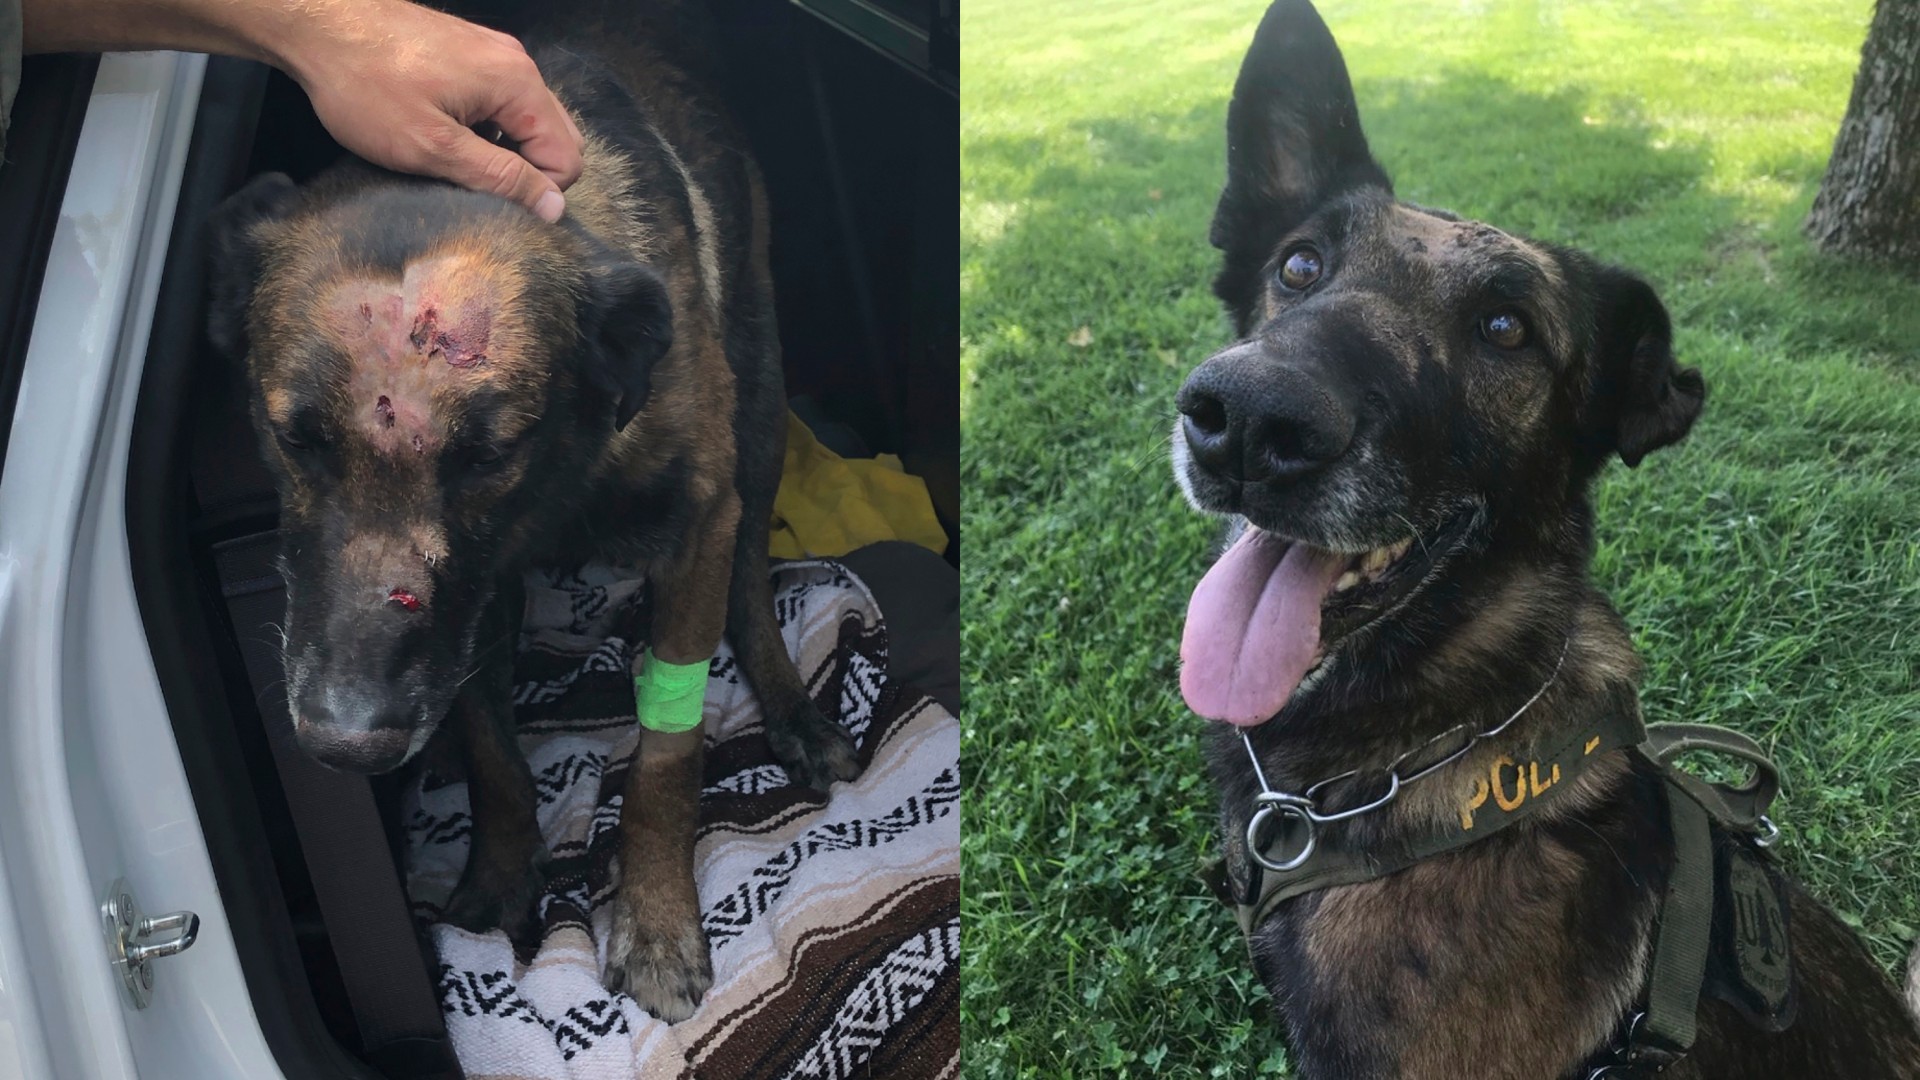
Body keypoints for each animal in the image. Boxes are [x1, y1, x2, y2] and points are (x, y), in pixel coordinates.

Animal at [206, 4, 860, 1014]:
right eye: (292, 436)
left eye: (487, 455)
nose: (347, 742)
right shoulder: (472, 601)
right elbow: (488, 745)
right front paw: (499, 876)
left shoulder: (698, 521)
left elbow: (665, 756)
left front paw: (658, 920)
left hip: (758, 412)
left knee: (753, 577)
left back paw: (791, 708)